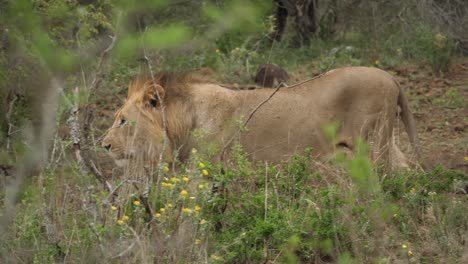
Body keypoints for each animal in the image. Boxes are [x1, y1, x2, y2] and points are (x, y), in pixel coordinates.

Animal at [102, 66, 424, 169]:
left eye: (122, 120)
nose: (103, 146)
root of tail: (391, 77)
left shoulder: (208, 170)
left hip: (373, 143)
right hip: (384, 141)